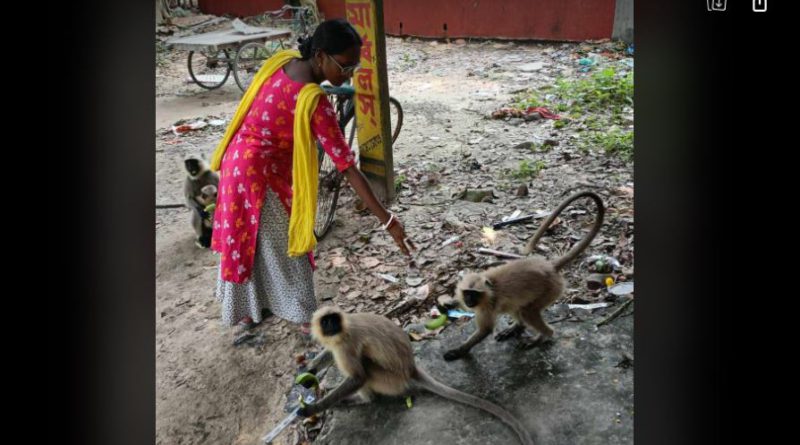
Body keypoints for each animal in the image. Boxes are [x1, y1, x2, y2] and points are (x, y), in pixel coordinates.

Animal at [296, 306, 536, 444]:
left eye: (334, 320)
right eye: (326, 321)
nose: (332, 326)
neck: (343, 330)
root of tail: (410, 367)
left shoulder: (346, 344)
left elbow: (358, 377)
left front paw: (312, 408)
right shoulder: (336, 341)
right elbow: (329, 351)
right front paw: (310, 370)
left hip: (389, 379)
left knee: (366, 368)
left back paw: (363, 400)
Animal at [440, 191, 604, 360]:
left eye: (474, 294)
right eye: (467, 293)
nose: (469, 301)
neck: (489, 286)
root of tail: (550, 267)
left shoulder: (487, 306)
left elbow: (485, 330)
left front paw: (458, 351)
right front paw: (449, 304)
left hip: (551, 290)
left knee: (527, 312)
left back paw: (541, 337)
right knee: (516, 306)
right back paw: (517, 327)